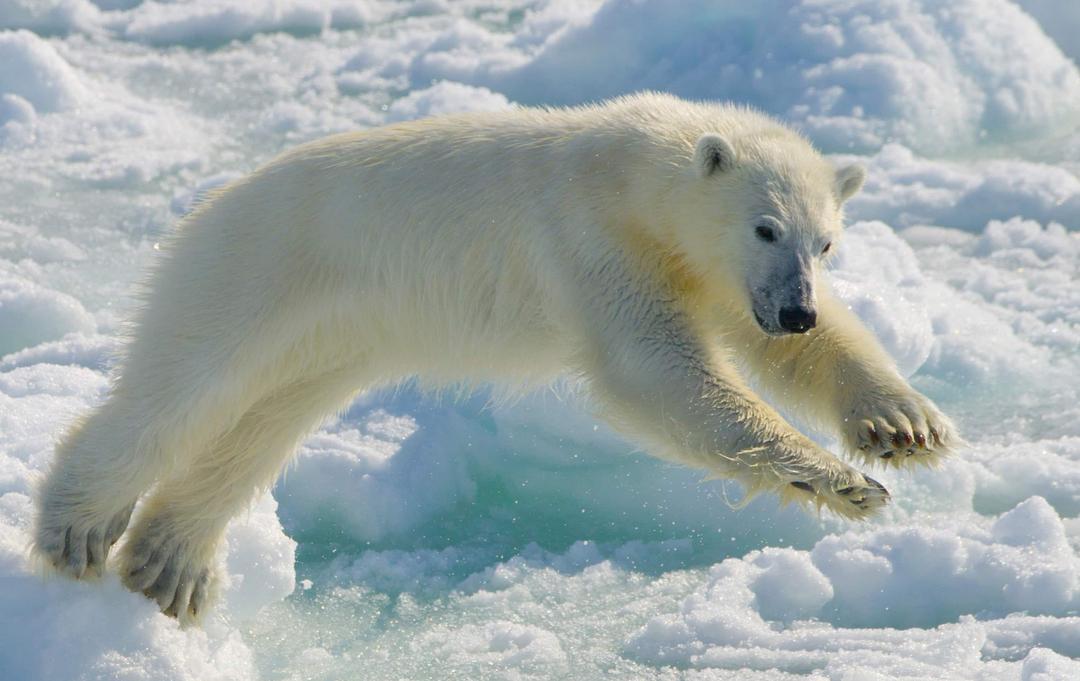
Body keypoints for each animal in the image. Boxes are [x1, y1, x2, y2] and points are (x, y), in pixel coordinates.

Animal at [33, 93, 959, 621]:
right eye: (765, 226)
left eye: (826, 241)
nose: (796, 308)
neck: (633, 166)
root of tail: (208, 204)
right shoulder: (592, 239)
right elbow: (654, 372)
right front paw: (844, 483)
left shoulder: (707, 272)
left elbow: (789, 344)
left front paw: (902, 425)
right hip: (256, 270)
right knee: (184, 387)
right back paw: (78, 526)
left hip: (334, 334)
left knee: (262, 423)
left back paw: (170, 566)